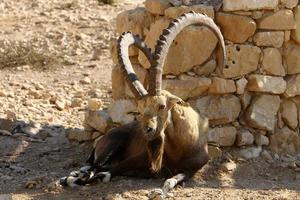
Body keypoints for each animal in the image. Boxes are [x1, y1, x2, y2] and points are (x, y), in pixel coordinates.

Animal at [60, 11, 225, 199]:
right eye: (139, 109)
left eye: (162, 106)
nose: (147, 130)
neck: (183, 144)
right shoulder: (136, 160)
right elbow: (104, 173)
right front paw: (72, 179)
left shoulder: (192, 169)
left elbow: (171, 180)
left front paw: (159, 192)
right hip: (112, 144)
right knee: (94, 166)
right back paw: (72, 176)